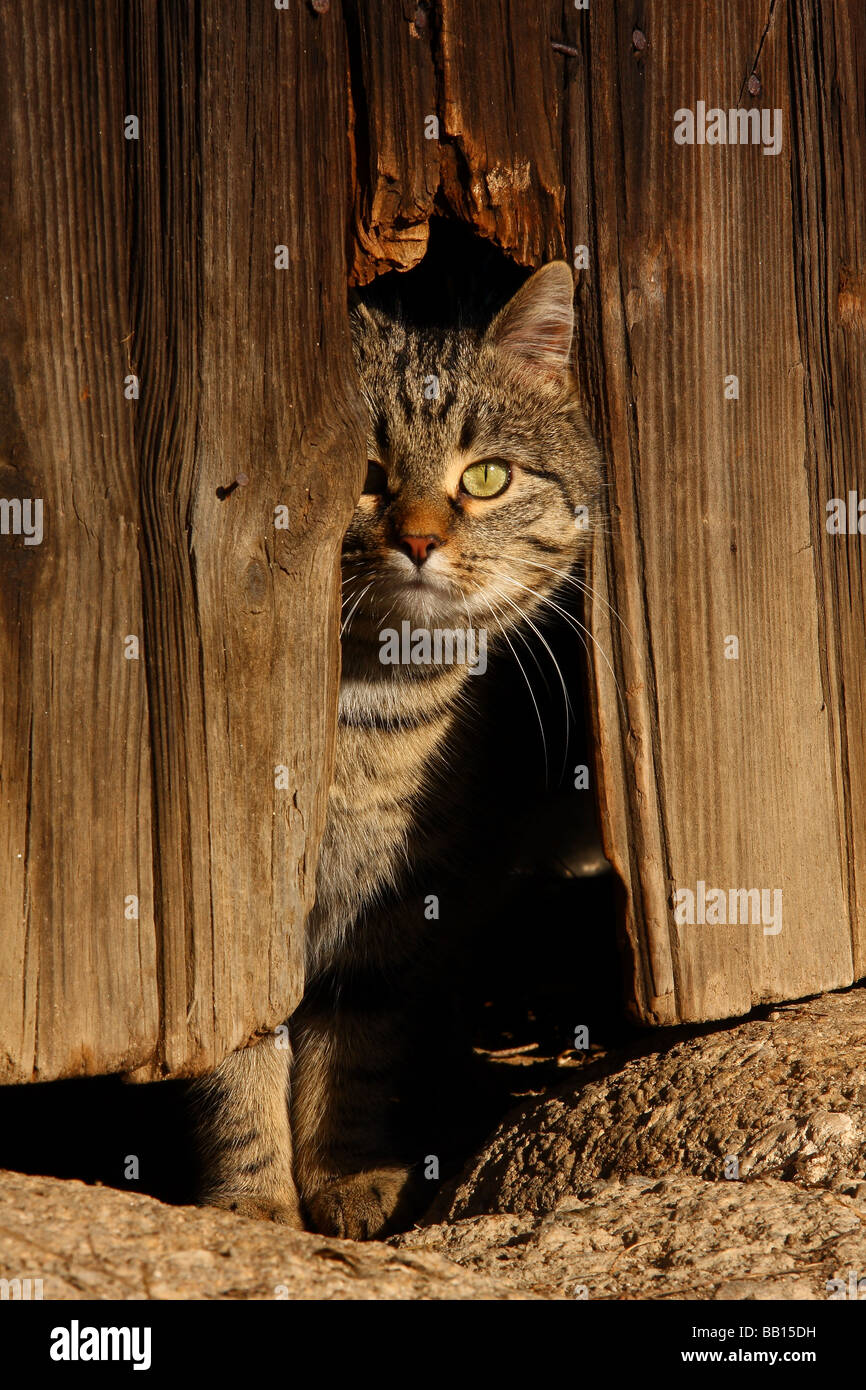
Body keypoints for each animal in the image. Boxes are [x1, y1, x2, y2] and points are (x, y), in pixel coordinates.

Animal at [195, 258, 603, 1239]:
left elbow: (354, 1051)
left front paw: (345, 1176)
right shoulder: (231, 917)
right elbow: (239, 1061)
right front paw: (251, 1201)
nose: (419, 539)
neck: (364, 720)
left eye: (485, 476)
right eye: (366, 475)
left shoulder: (393, 912)